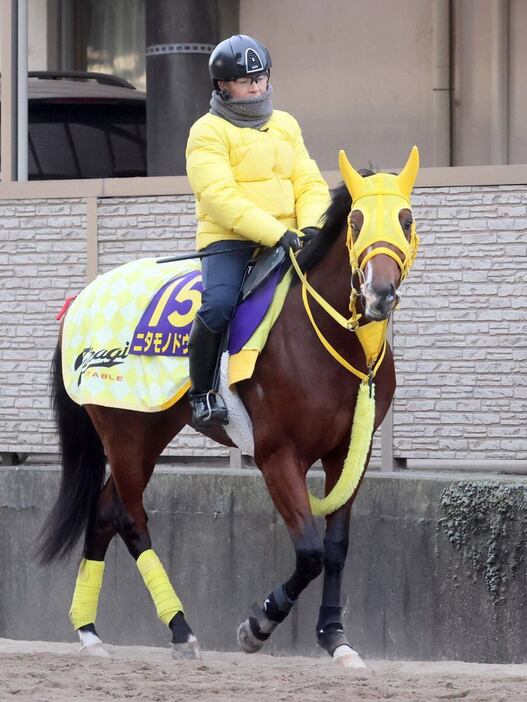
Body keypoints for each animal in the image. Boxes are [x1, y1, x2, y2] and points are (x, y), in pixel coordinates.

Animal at [38, 146, 420, 668]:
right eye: (356, 221)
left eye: (406, 219)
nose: (380, 293)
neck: (322, 335)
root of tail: (81, 299)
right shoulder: (277, 455)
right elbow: (310, 552)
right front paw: (258, 624)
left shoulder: (347, 454)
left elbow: (336, 548)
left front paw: (335, 637)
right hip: (121, 427)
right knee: (129, 518)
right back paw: (180, 630)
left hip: (151, 427)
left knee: (103, 510)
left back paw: (90, 632)